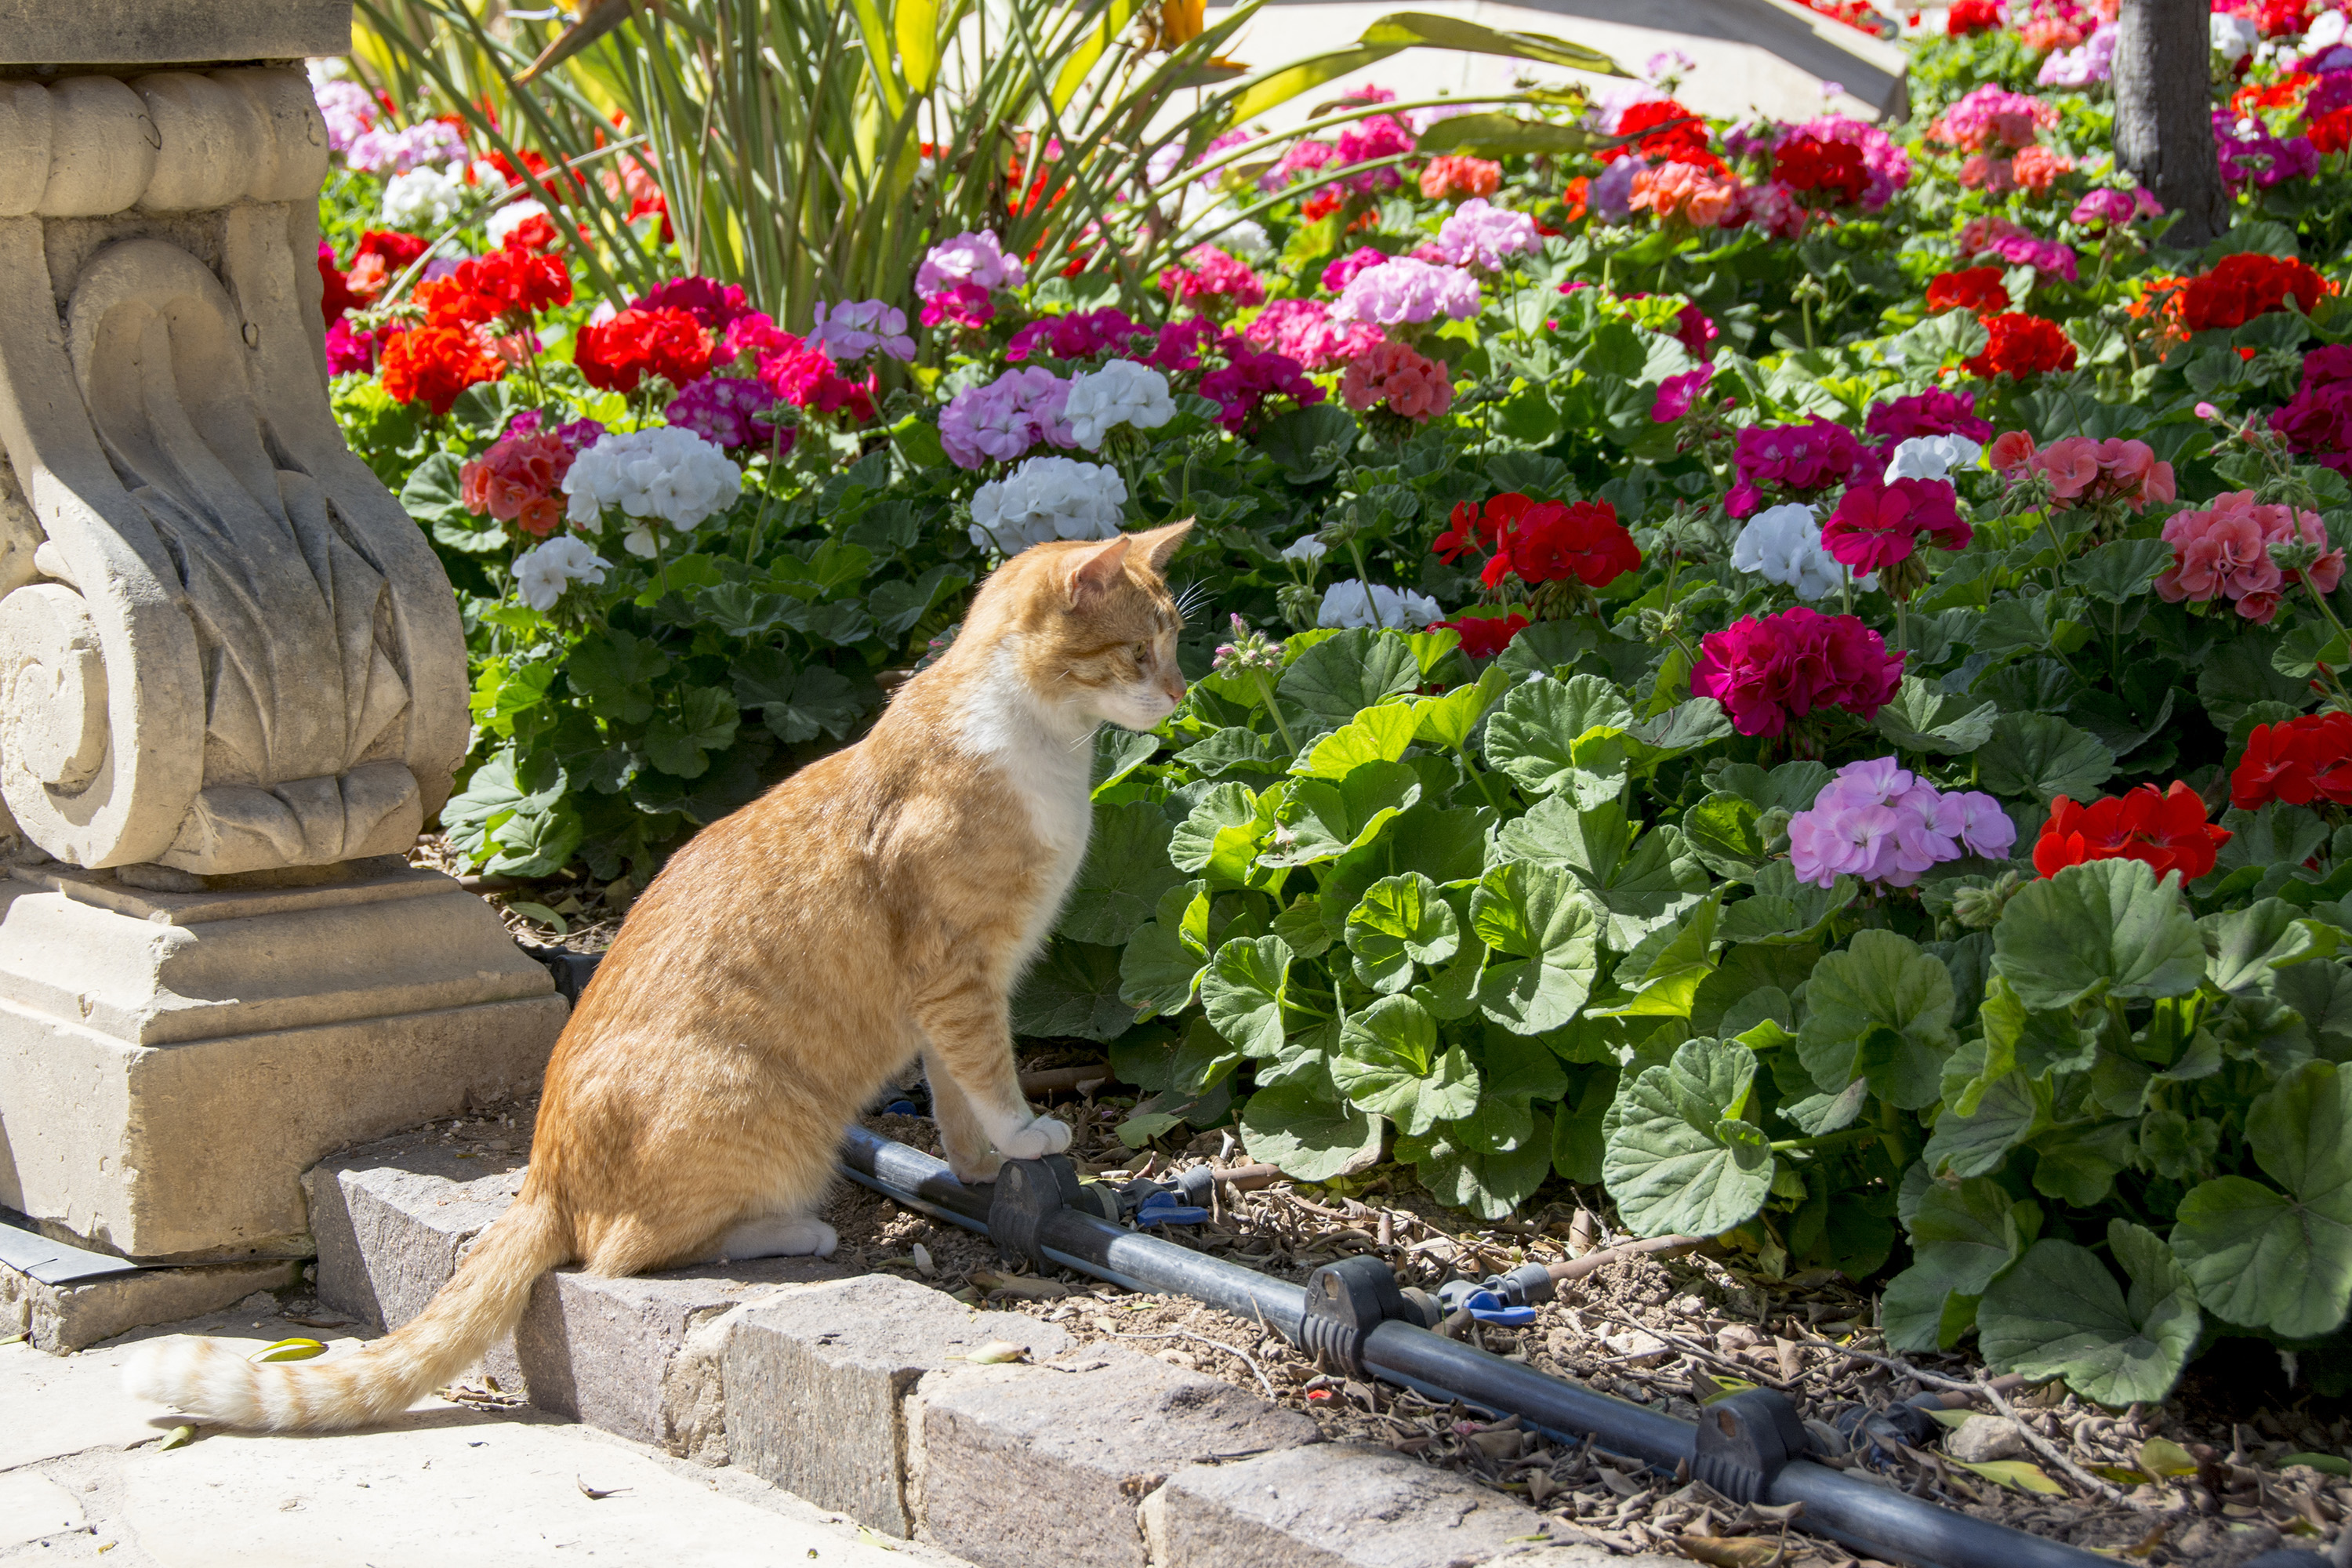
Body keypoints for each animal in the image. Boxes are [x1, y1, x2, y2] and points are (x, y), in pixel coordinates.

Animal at [129, 521, 1195, 1429]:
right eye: (1140, 650)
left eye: (1177, 643)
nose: (1184, 693)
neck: (1037, 743)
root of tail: (541, 1175)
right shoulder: (963, 976)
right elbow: (991, 1074)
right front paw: (1026, 1136)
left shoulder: (956, 993)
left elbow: (954, 1095)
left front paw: (979, 1166)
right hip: (775, 1123)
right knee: (620, 1255)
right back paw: (796, 1233)